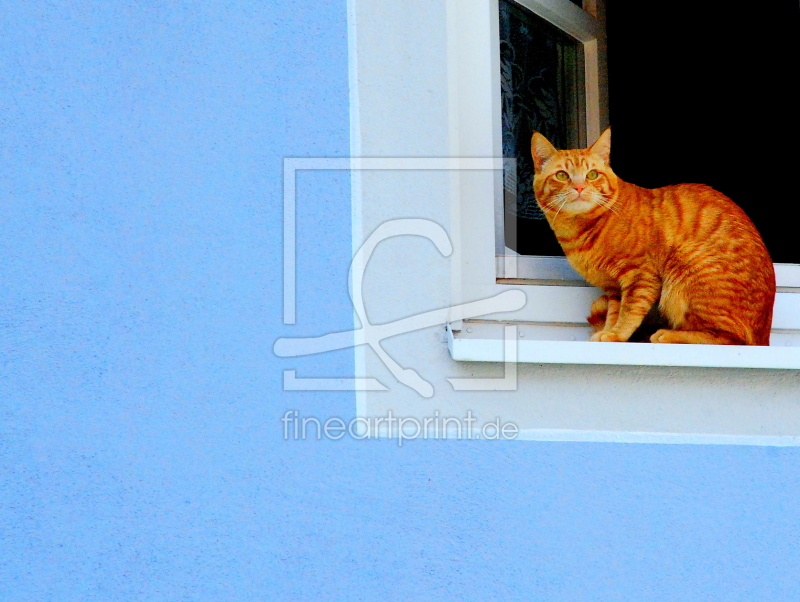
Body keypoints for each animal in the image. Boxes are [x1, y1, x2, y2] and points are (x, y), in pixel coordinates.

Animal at [532, 129, 776, 344]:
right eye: (562, 175)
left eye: (592, 174)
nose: (580, 187)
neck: (580, 229)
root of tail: (764, 336)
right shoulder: (614, 289)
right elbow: (614, 312)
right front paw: (609, 331)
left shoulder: (640, 275)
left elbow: (629, 311)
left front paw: (617, 334)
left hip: (686, 268)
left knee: (730, 338)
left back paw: (670, 335)